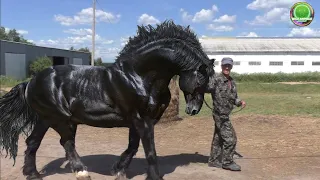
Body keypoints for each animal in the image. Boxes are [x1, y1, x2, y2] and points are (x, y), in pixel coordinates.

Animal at [0, 20, 215, 179]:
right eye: (202, 80)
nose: (193, 109)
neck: (138, 76)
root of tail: (30, 82)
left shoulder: (139, 121)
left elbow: (133, 146)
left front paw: (118, 169)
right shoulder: (142, 119)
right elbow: (150, 151)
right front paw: (153, 176)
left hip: (45, 119)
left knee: (33, 142)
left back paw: (33, 174)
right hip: (59, 119)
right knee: (66, 142)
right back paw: (81, 171)